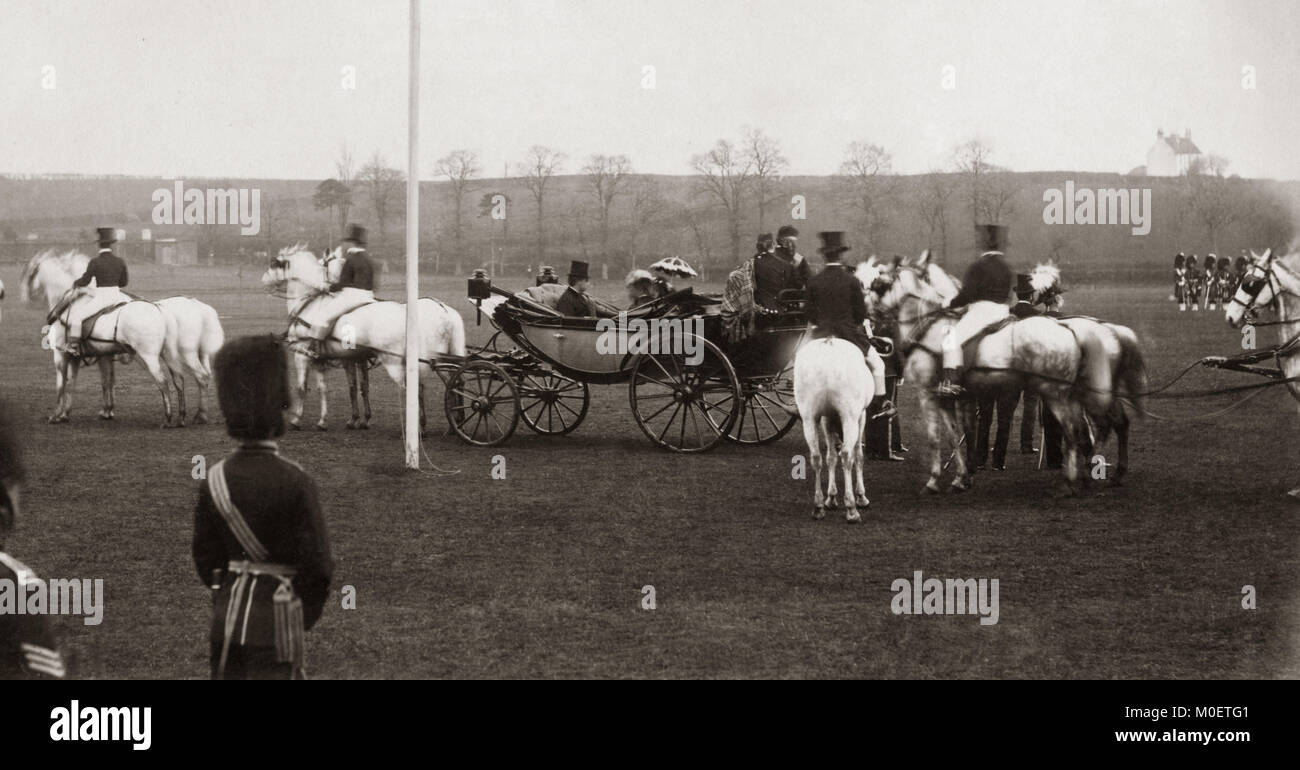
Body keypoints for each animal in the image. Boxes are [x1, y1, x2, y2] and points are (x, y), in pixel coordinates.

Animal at [19, 249, 175, 424]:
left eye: (30, 273)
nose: (25, 298)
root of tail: (158, 310)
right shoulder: (95, 356)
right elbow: (91, 382)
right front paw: (98, 411)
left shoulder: (61, 354)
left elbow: (61, 385)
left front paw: (56, 415)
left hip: (147, 356)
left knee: (163, 382)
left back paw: (168, 417)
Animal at [260, 243, 467, 429]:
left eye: (273, 264)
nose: (263, 281)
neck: (309, 304)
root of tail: (445, 310)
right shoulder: (336, 359)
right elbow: (341, 388)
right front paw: (330, 420)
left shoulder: (303, 354)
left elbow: (303, 388)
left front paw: (297, 420)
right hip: (445, 358)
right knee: (455, 382)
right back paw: (455, 423)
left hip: (398, 361)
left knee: (419, 388)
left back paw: (424, 426)